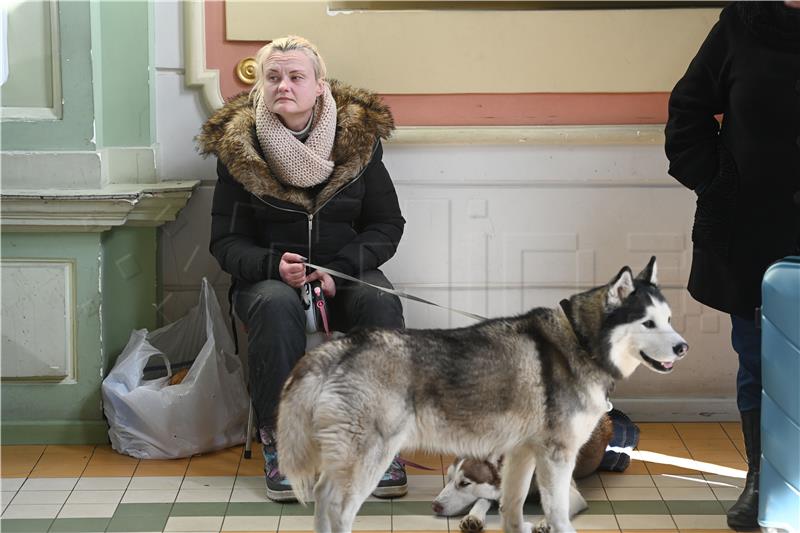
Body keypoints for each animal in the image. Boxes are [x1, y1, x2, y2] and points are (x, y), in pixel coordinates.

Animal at [278, 256, 684, 528]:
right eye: (648, 323)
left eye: (668, 319)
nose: (683, 347)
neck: (581, 342)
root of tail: (342, 345)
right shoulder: (557, 457)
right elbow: (557, 516)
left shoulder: (522, 455)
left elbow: (510, 508)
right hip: (369, 458)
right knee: (338, 509)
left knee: (321, 497)